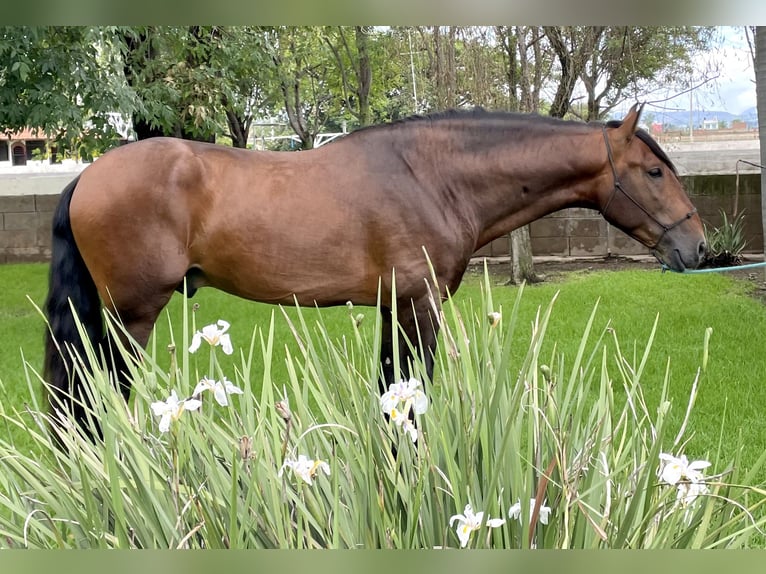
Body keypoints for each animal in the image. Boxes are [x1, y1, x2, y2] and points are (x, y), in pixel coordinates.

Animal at [45, 106, 708, 434]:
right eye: (655, 171)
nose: (698, 247)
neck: (433, 175)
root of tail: (87, 176)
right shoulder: (419, 308)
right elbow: (411, 395)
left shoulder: (394, 309)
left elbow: (392, 391)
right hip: (130, 318)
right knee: (95, 399)